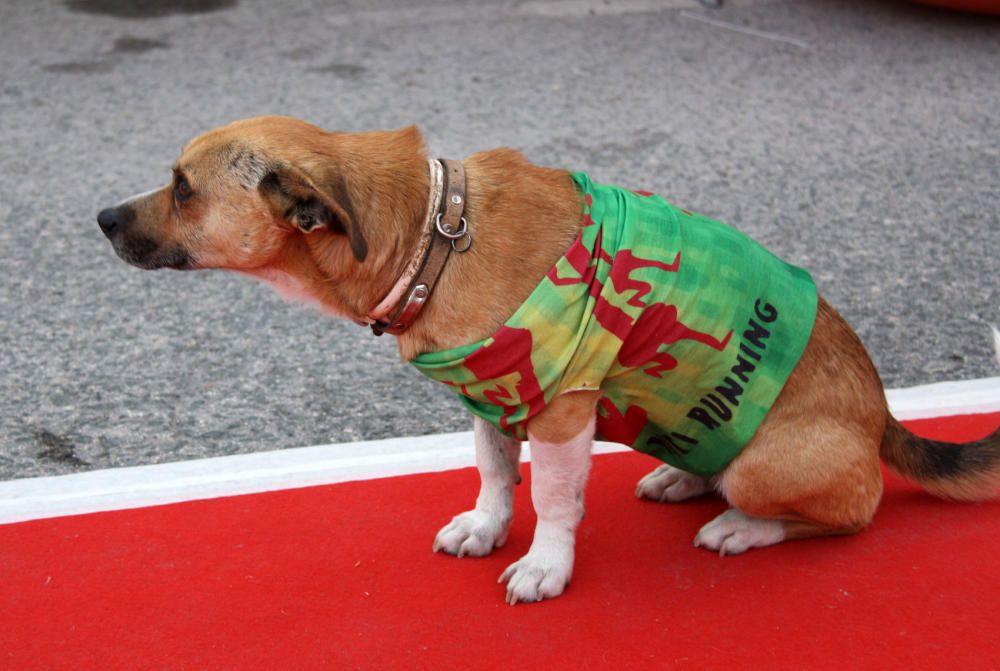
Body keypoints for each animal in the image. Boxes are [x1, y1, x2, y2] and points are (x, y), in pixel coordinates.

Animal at [99, 118, 1000, 608]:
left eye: (183, 188)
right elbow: (497, 476)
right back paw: (683, 477)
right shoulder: (492, 400)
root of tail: (882, 418)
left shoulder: (563, 409)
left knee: (849, 511)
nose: (101, 217)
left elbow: (557, 502)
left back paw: (743, 525)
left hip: (777, 468)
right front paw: (489, 525)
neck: (432, 236)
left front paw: (544, 565)